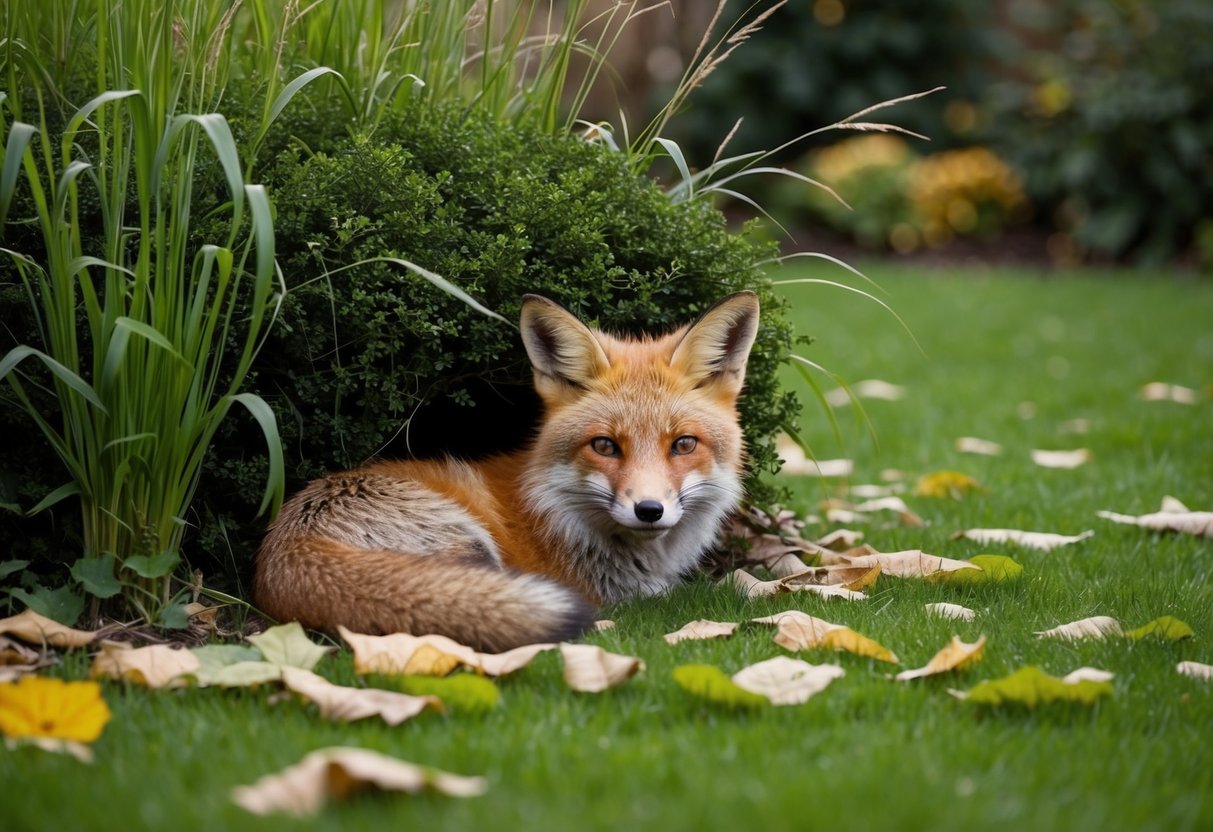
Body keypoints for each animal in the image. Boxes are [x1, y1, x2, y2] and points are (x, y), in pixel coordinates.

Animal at [254, 291, 760, 652]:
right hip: (470, 547)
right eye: (604, 445)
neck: (557, 516)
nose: (649, 510)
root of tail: (287, 542)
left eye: (683, 444)